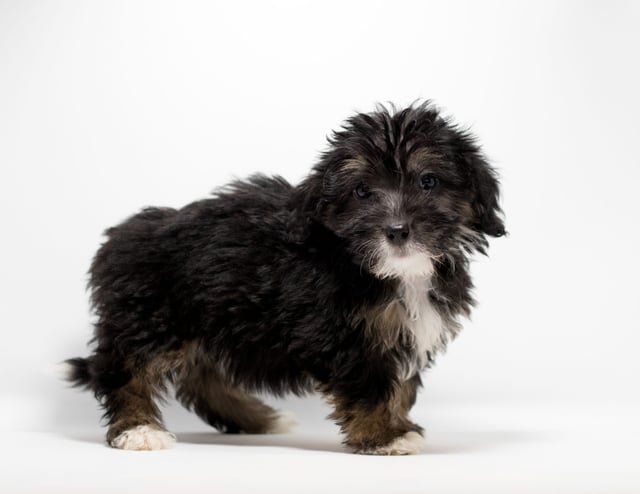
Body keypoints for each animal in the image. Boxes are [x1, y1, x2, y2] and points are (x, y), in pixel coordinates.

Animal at [65, 102, 504, 454]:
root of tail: (121, 237)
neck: (392, 272)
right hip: (151, 316)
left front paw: (400, 425)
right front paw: (383, 436)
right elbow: (369, 385)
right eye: (361, 191)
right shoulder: (344, 336)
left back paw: (257, 419)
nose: (397, 231)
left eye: (428, 181)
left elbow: (400, 384)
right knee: (126, 372)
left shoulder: (397, 330)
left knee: (200, 379)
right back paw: (138, 429)